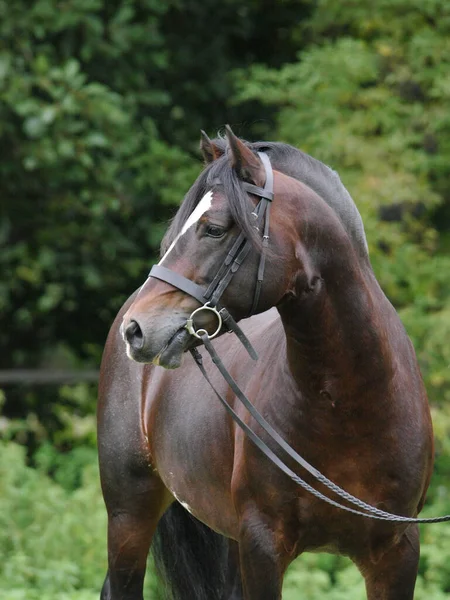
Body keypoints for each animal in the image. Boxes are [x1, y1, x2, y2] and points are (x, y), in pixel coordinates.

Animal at [96, 124, 434, 596]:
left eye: (214, 229)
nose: (137, 329)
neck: (350, 401)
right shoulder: (262, 545)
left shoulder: (397, 552)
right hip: (129, 513)